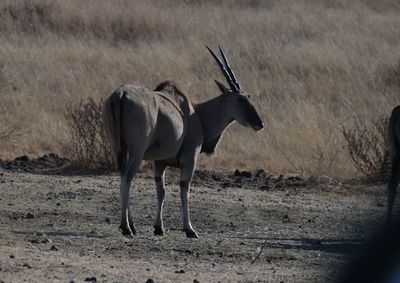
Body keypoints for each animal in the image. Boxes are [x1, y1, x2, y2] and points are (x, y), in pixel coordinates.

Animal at [103, 46, 264, 240]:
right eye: (240, 99)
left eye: (248, 96)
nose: (259, 123)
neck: (197, 114)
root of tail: (121, 94)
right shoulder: (189, 159)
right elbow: (184, 190)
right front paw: (190, 229)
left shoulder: (160, 163)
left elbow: (161, 192)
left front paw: (159, 227)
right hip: (137, 152)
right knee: (127, 180)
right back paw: (126, 227)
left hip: (120, 150)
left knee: (123, 179)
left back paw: (131, 226)